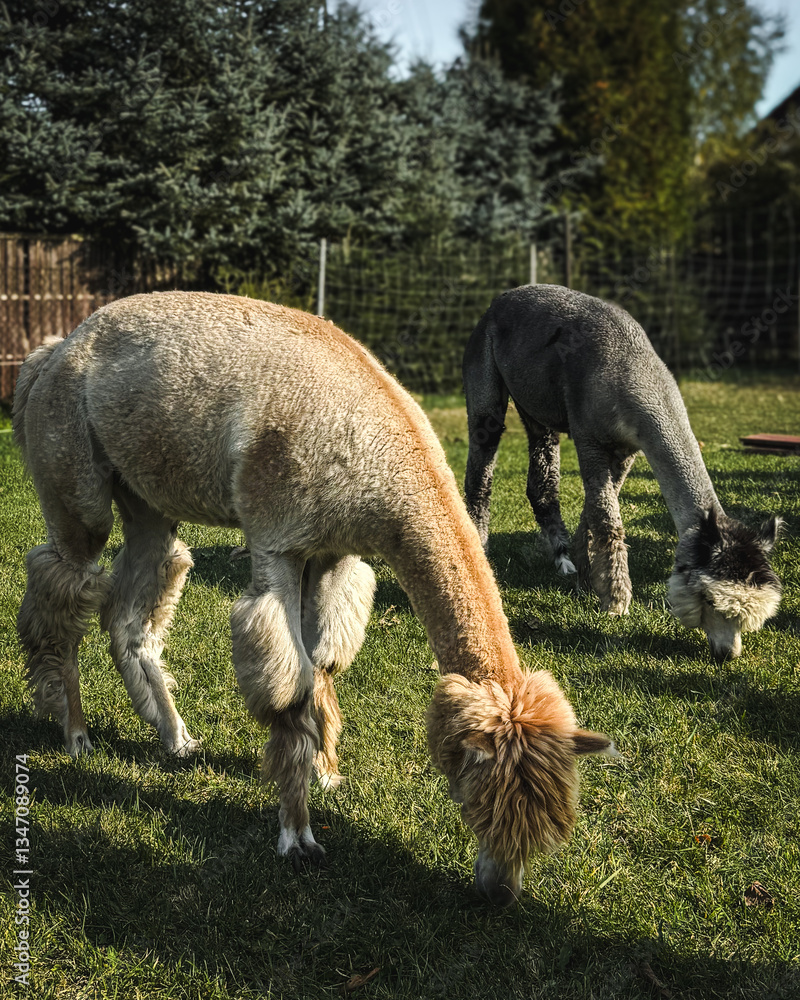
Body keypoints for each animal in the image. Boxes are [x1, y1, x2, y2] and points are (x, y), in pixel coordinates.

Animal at [13, 291, 613, 906]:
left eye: (547, 828)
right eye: (481, 803)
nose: (501, 893)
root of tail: (53, 350)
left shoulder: (332, 553)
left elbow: (323, 661)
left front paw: (327, 770)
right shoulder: (277, 539)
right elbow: (289, 683)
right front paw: (297, 835)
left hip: (147, 496)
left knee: (132, 616)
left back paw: (176, 739)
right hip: (74, 473)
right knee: (63, 589)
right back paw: (76, 733)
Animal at [463, 284, 782, 661]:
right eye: (708, 599)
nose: (727, 653)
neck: (629, 371)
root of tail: (501, 299)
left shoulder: (627, 449)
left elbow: (595, 509)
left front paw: (587, 579)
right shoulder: (588, 436)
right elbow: (607, 519)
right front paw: (616, 602)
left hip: (536, 408)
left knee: (541, 481)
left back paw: (562, 559)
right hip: (484, 369)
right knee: (481, 467)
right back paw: (481, 547)